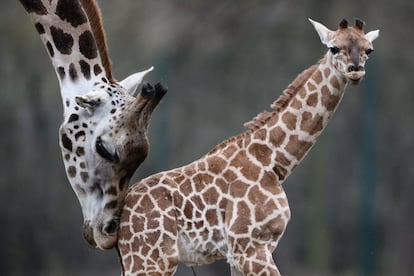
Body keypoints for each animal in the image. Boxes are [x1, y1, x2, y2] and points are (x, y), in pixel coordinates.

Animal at [116, 18, 378, 274]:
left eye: (369, 50)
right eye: (333, 48)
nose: (356, 71)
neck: (273, 159)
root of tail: (117, 219)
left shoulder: (243, 253)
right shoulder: (249, 247)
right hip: (153, 259)